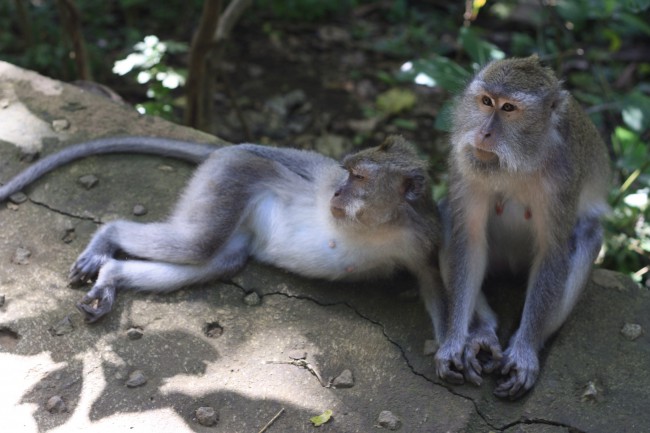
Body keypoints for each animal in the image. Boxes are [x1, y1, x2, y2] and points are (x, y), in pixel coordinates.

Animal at [0, 135, 446, 345]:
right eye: (348, 173)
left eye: (361, 178)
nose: (337, 193)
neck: (380, 222)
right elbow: (298, 160)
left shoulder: (425, 236)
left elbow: (434, 283)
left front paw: (454, 350)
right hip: (232, 173)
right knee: (199, 242)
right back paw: (106, 238)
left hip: (237, 212)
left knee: (216, 259)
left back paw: (112, 274)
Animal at [434, 55, 610, 399]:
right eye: (486, 102)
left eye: (508, 108)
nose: (484, 133)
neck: (519, 162)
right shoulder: (466, 162)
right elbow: (468, 240)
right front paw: (453, 342)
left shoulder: (562, 179)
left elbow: (553, 252)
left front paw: (525, 351)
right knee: (449, 215)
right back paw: (482, 333)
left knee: (588, 233)